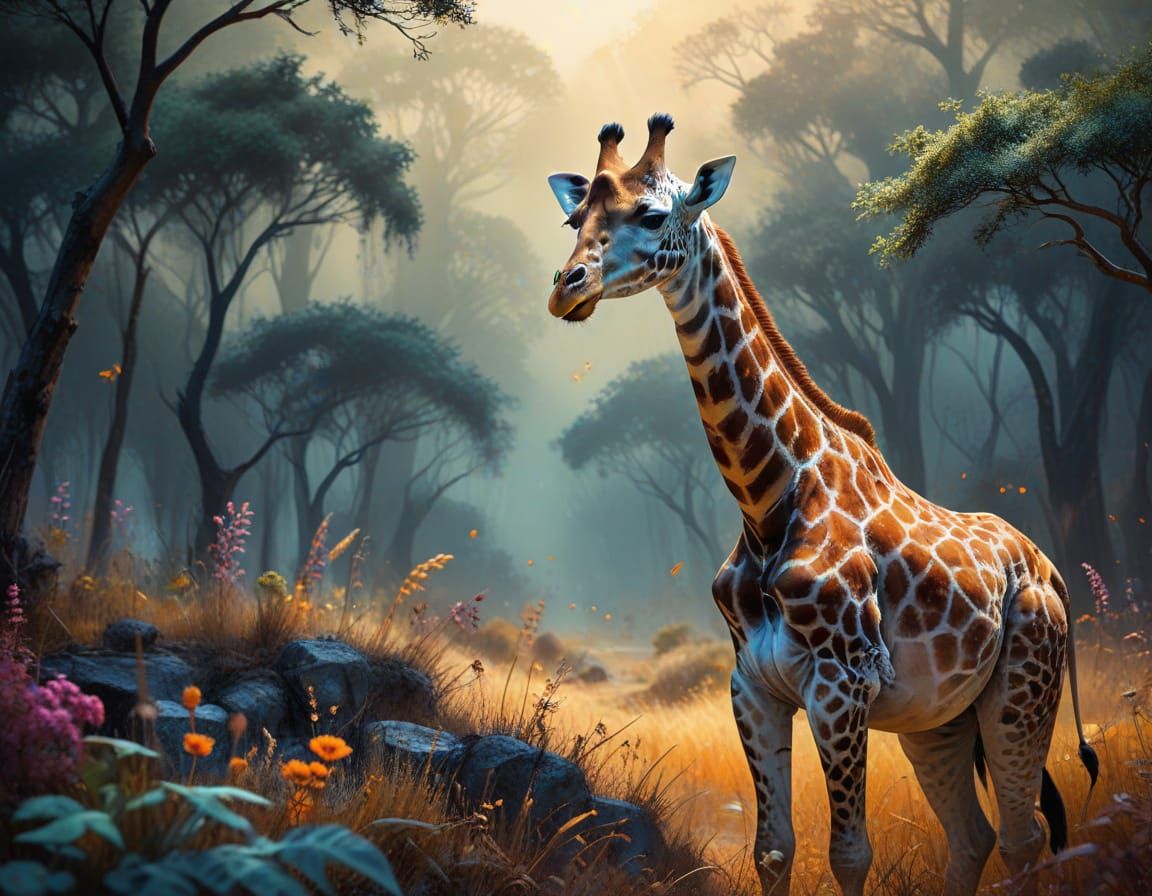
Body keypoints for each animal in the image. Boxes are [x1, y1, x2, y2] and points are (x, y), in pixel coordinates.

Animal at [544, 114, 1099, 896]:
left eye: (651, 215)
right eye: (575, 218)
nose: (568, 288)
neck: (765, 501)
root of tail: (1053, 574)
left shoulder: (843, 682)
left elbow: (849, 854)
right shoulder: (752, 685)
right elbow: (773, 850)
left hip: (1023, 691)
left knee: (1024, 838)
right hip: (940, 718)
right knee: (974, 837)